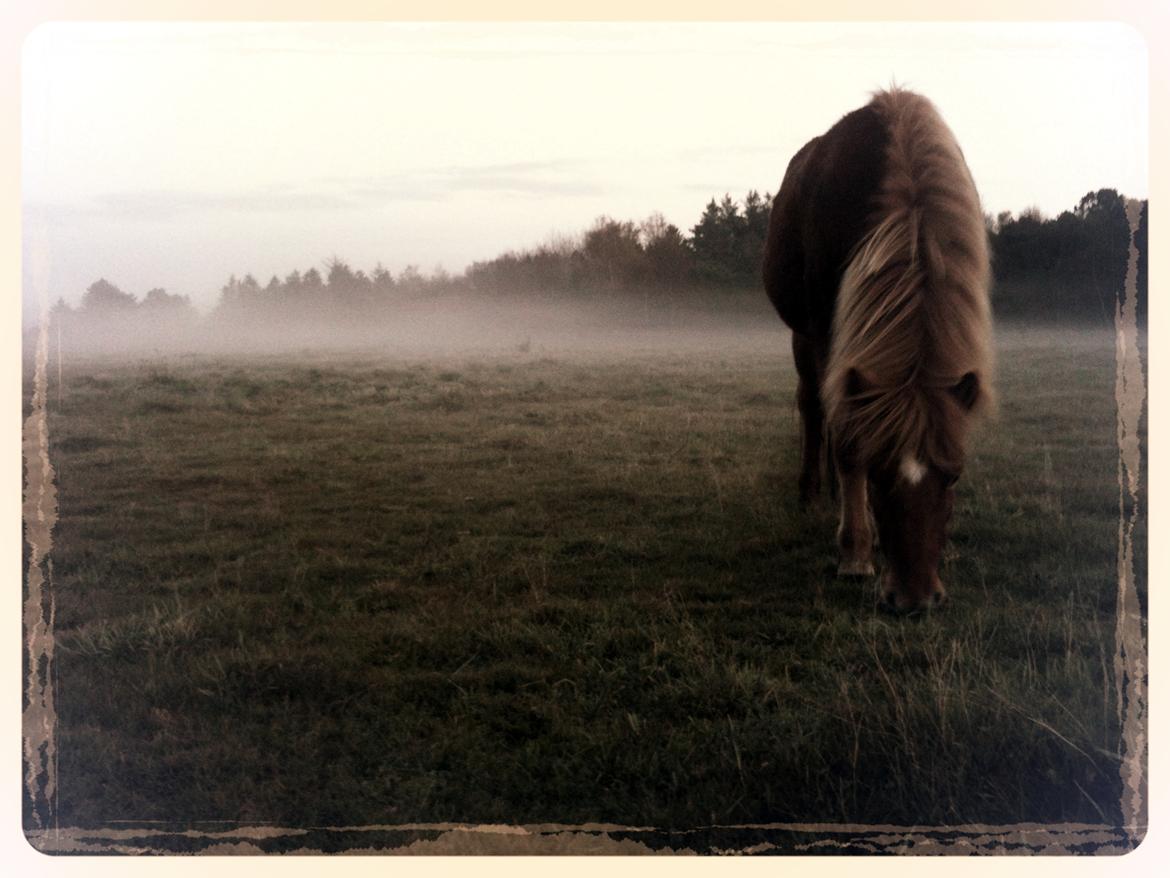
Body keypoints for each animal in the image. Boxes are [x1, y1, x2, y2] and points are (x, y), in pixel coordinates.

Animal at [762, 87, 992, 613]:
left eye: (953, 475)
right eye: (881, 473)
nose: (915, 599)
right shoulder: (826, 330)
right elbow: (848, 438)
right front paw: (854, 553)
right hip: (805, 335)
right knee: (814, 407)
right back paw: (812, 491)